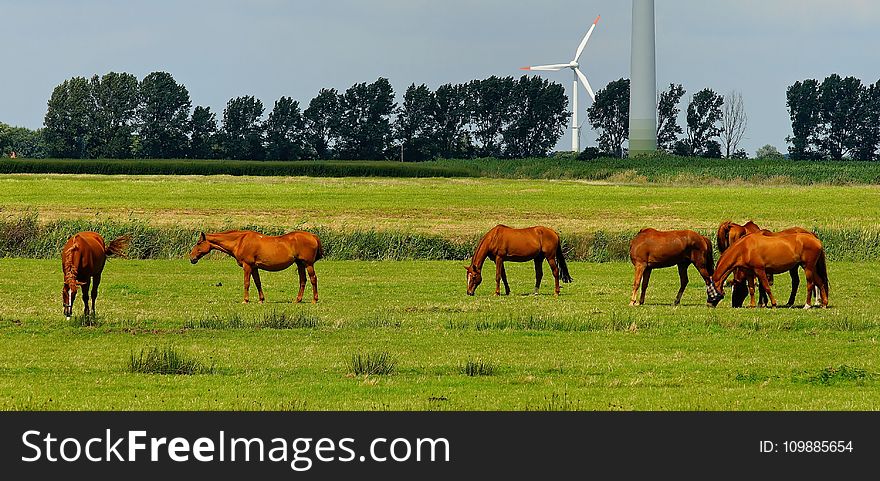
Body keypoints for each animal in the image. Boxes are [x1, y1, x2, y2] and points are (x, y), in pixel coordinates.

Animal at [189, 230, 324, 304]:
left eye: (198, 243)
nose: (191, 257)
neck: (240, 241)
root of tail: (312, 236)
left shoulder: (247, 266)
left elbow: (246, 283)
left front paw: (245, 300)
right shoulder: (254, 267)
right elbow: (258, 283)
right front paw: (261, 299)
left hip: (308, 264)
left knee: (313, 279)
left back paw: (314, 299)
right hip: (300, 264)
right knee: (303, 280)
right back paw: (298, 300)